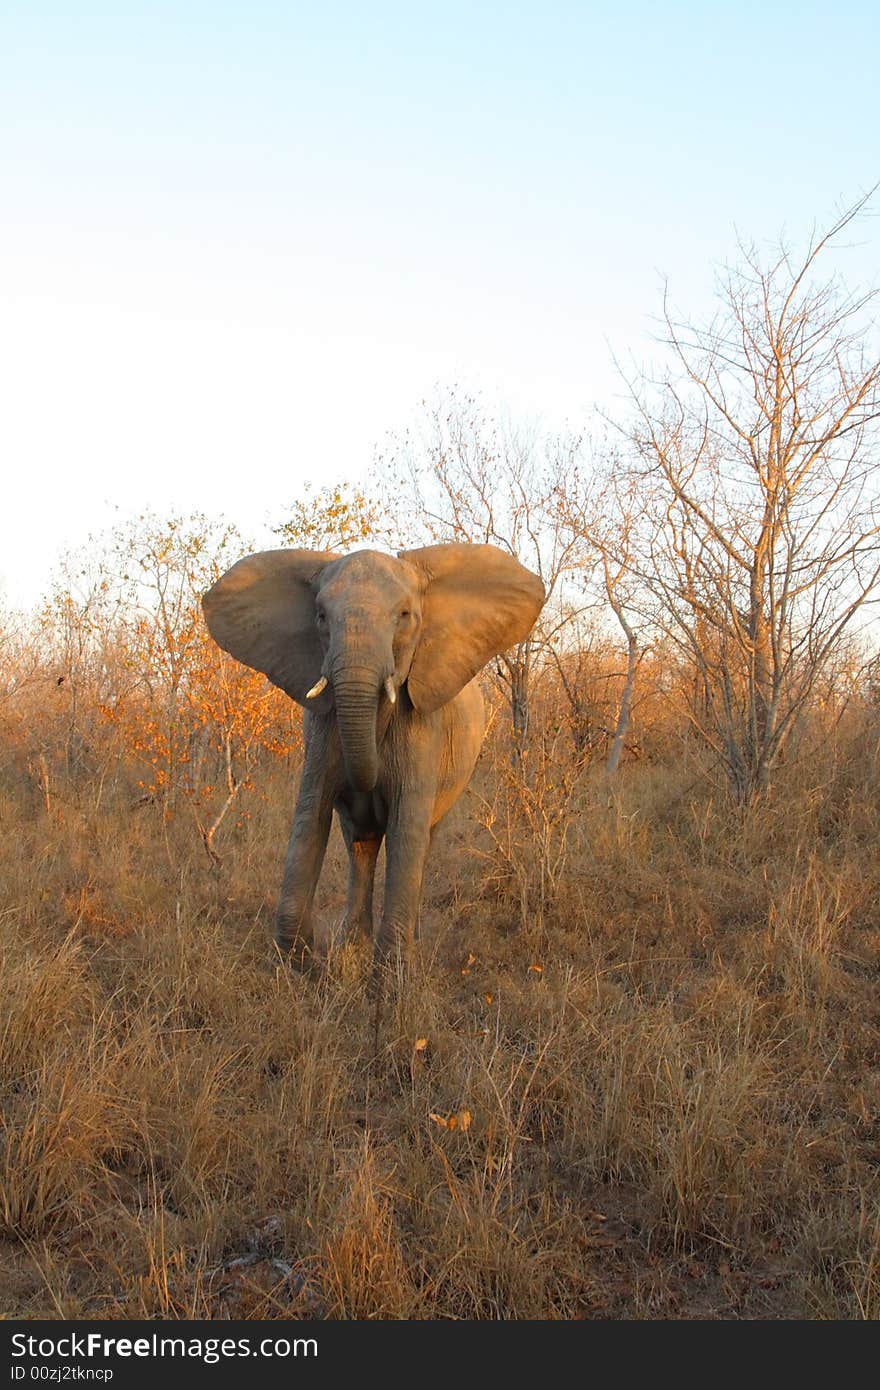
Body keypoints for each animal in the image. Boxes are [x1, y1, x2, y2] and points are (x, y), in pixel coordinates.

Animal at [201, 542, 542, 978]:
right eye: (321, 616)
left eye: (405, 616)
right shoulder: (322, 727)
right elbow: (310, 817)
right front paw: (300, 970)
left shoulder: (422, 725)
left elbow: (406, 830)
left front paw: (391, 979)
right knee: (359, 844)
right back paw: (353, 946)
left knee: (422, 839)